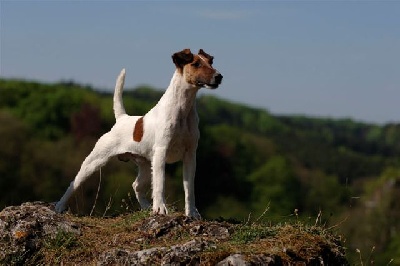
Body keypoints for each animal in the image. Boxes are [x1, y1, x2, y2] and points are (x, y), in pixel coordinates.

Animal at [54, 48, 222, 218]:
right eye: (196, 64)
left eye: (210, 62)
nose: (219, 76)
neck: (183, 110)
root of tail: (121, 119)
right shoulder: (161, 152)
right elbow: (160, 184)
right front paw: (160, 208)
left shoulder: (190, 155)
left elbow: (189, 189)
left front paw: (192, 213)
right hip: (94, 161)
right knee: (74, 183)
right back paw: (60, 206)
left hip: (147, 166)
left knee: (136, 185)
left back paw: (146, 206)